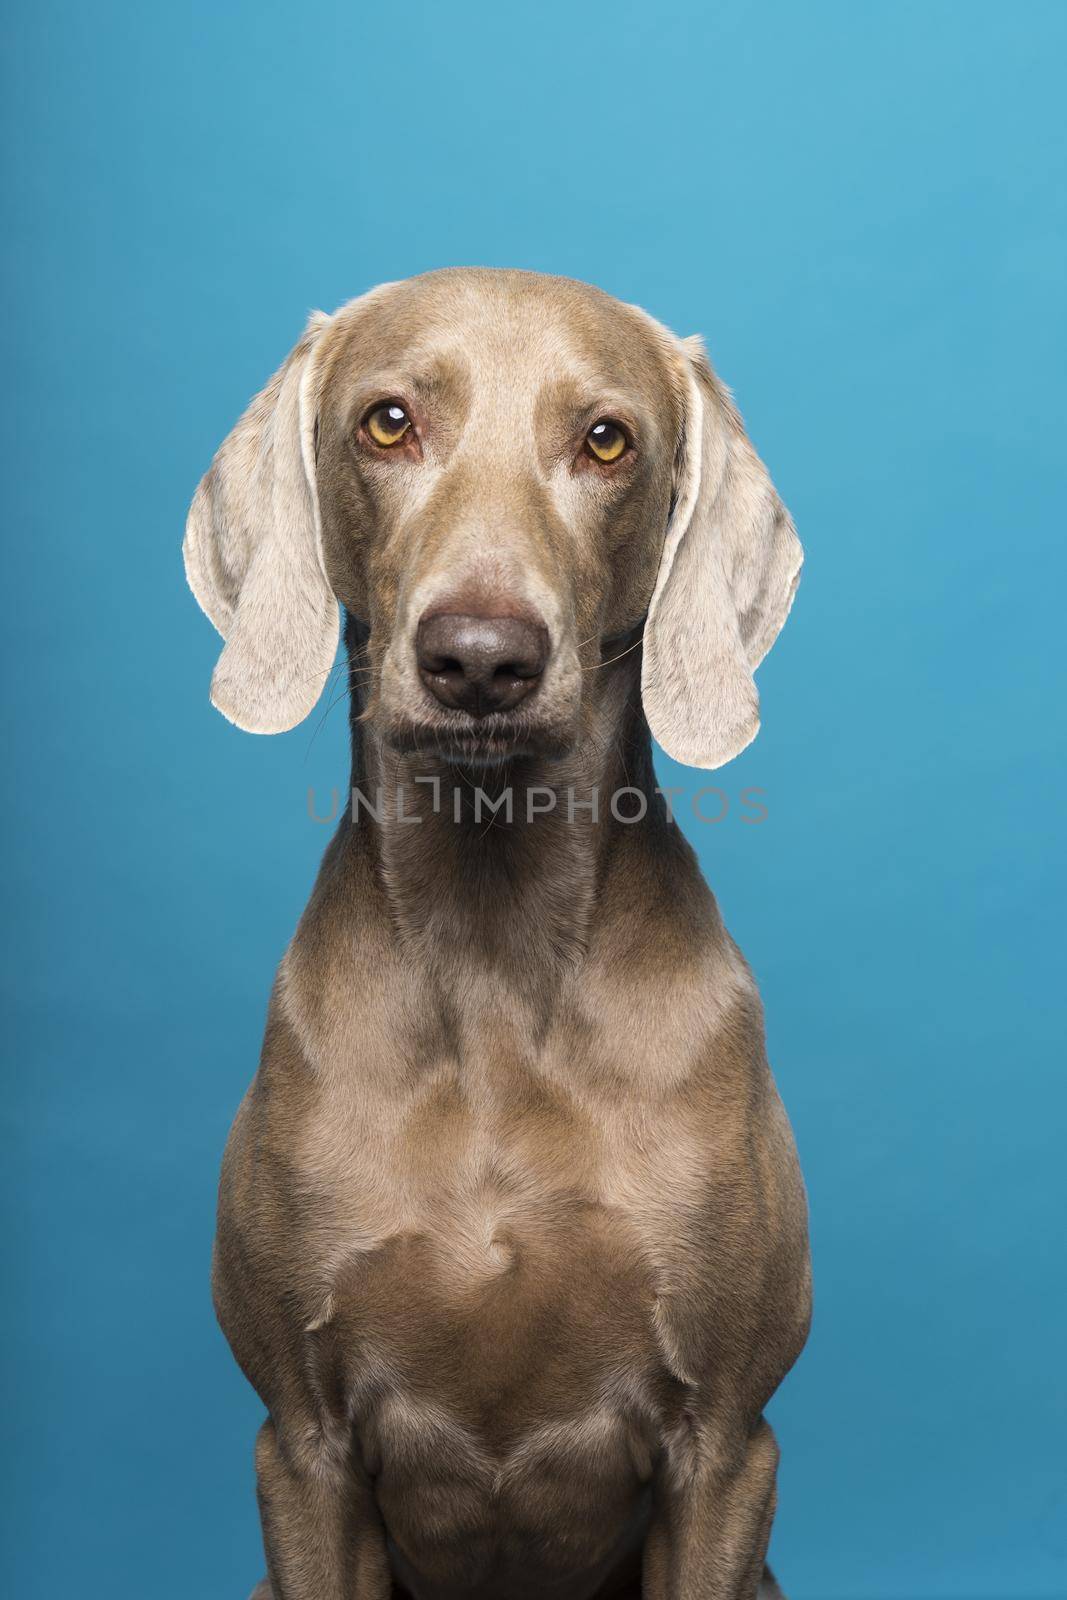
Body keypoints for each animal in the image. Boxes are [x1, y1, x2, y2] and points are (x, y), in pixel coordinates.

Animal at [183, 268, 809, 1593]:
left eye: (606, 440)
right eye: (386, 422)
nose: (479, 658)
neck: (492, 947)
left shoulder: (728, 1444)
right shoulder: (299, 1446)